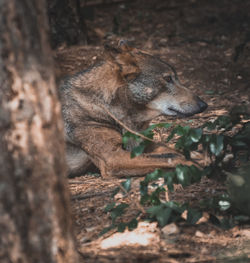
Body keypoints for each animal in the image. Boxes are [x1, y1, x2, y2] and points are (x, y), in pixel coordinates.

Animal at [59, 40, 207, 177]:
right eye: (168, 79)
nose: (204, 105)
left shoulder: (143, 145)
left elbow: (174, 150)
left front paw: (199, 155)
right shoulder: (114, 158)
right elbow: (172, 157)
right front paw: (197, 163)